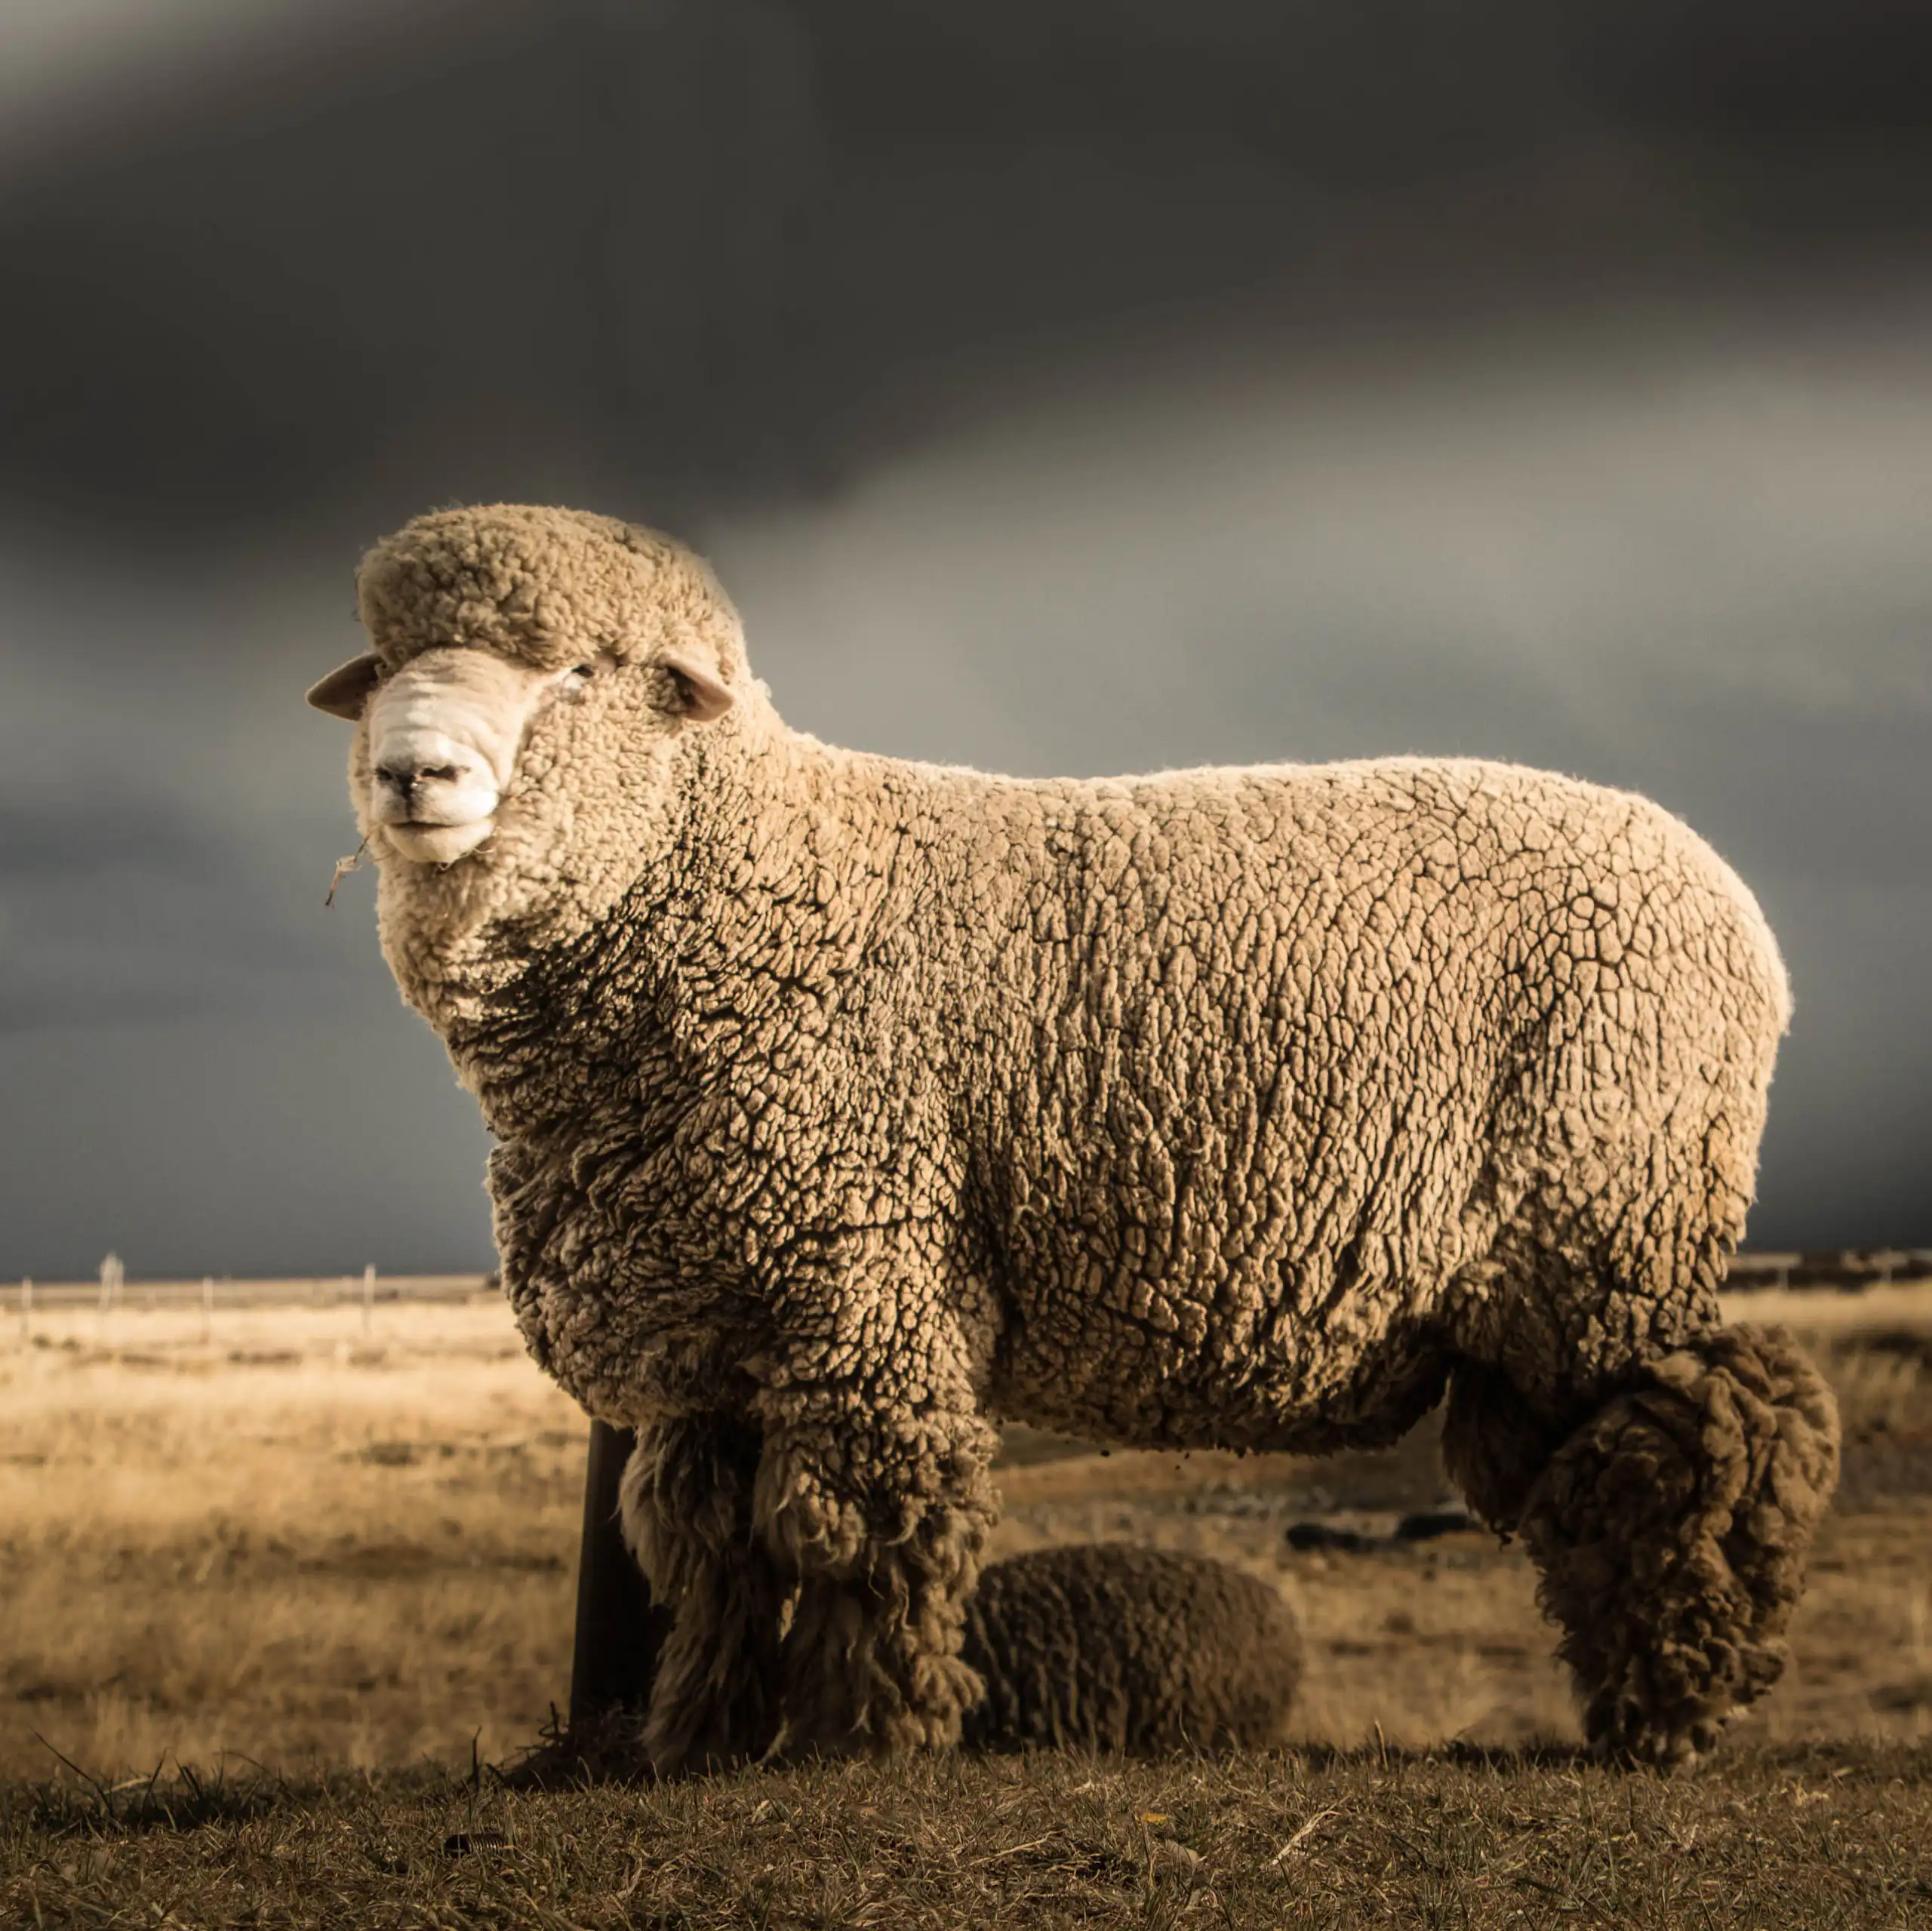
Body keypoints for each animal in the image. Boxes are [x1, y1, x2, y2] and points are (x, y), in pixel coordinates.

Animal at [306, 501, 1839, 1777]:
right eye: (382, 666)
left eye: (577, 671)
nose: (411, 773)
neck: (755, 878)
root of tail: (1730, 897)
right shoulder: (713, 1331)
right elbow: (713, 1550)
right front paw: (697, 1737)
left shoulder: (864, 1286)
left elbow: (859, 1527)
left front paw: (863, 1740)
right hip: (1548, 1287)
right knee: (1608, 1460)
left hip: (1605, 1228)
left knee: (1712, 1428)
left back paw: (1670, 1710)